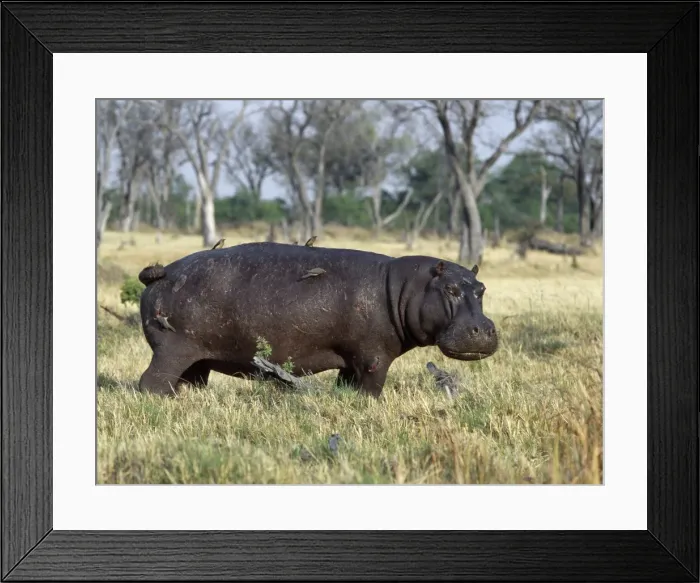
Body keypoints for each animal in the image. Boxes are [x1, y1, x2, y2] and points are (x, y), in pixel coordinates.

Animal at [136, 241, 498, 398]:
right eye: (451, 288)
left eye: (481, 288)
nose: (483, 329)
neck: (406, 287)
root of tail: (161, 273)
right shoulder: (373, 357)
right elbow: (371, 388)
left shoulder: (352, 360)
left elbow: (347, 385)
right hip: (172, 350)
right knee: (151, 381)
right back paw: (162, 400)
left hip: (198, 356)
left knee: (191, 379)